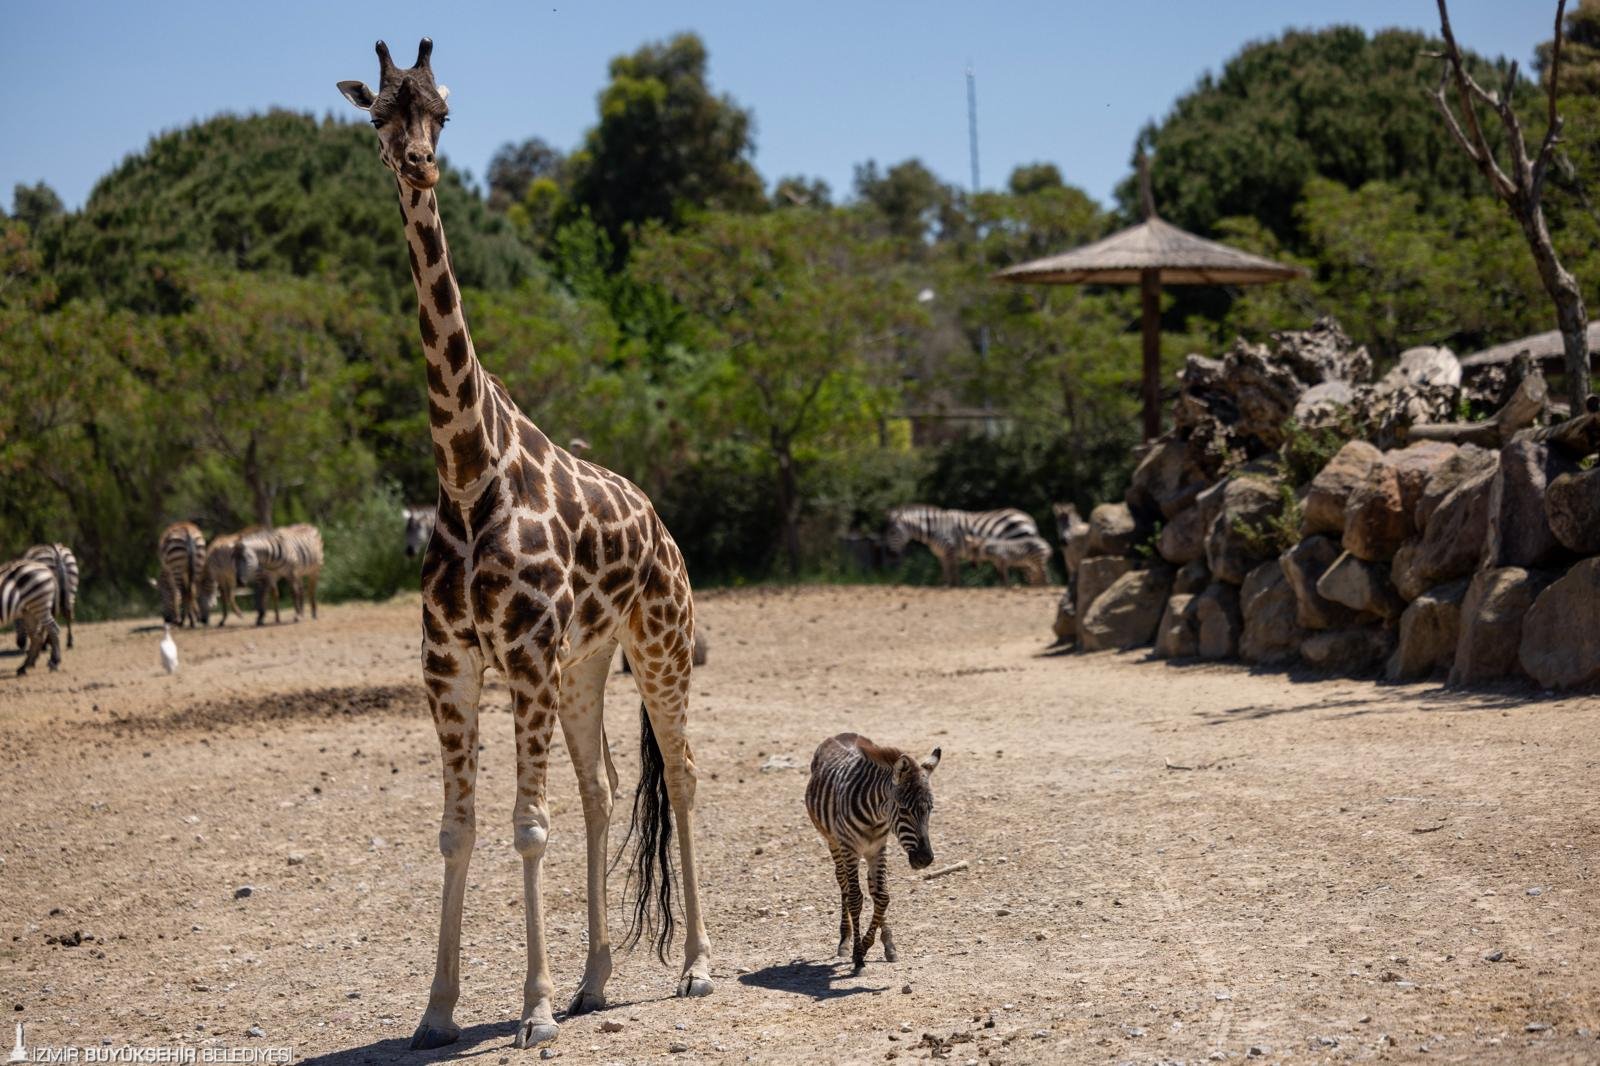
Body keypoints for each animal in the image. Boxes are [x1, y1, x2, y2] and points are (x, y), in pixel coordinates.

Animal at [805, 732, 941, 971]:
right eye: (903, 809)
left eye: (930, 809)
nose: (925, 859)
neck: (876, 815)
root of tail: (839, 734)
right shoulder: (850, 848)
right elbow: (855, 898)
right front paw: (858, 954)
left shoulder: (878, 848)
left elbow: (882, 896)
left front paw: (873, 945)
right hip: (834, 842)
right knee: (843, 883)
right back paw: (845, 940)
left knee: (873, 888)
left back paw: (887, 944)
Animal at [883, 505, 1041, 586]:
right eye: (888, 532)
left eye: (892, 532)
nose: (890, 555)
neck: (934, 528)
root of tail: (1028, 518)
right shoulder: (942, 555)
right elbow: (946, 574)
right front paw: (945, 587)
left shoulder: (950, 550)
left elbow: (954, 575)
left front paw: (955, 588)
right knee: (1031, 571)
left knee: (1032, 571)